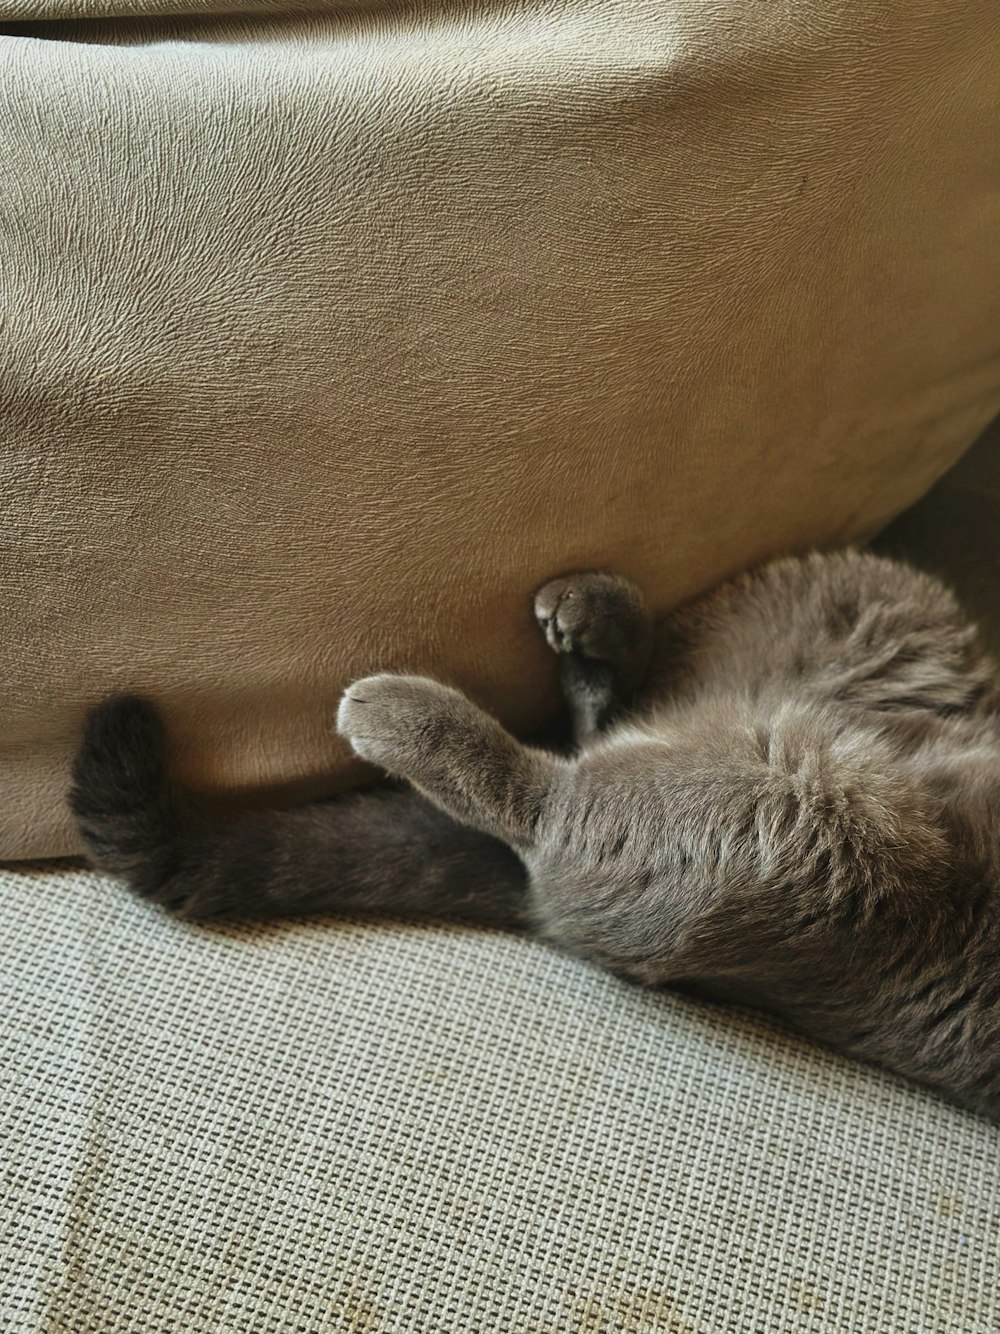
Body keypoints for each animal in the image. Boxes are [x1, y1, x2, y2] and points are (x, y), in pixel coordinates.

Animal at [68, 546, 1000, 1120]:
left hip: (828, 844)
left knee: (566, 803)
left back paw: (417, 704)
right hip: (866, 614)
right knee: (607, 739)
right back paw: (591, 623)